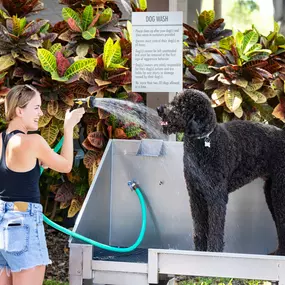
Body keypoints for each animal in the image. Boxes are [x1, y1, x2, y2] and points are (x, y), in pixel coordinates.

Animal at [156, 88, 284, 253]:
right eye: (174, 101)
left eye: (181, 106)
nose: (159, 109)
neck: (203, 142)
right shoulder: (196, 195)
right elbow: (199, 228)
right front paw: (199, 251)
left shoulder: (216, 195)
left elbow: (215, 229)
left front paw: (213, 251)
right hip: (271, 191)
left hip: (279, 191)